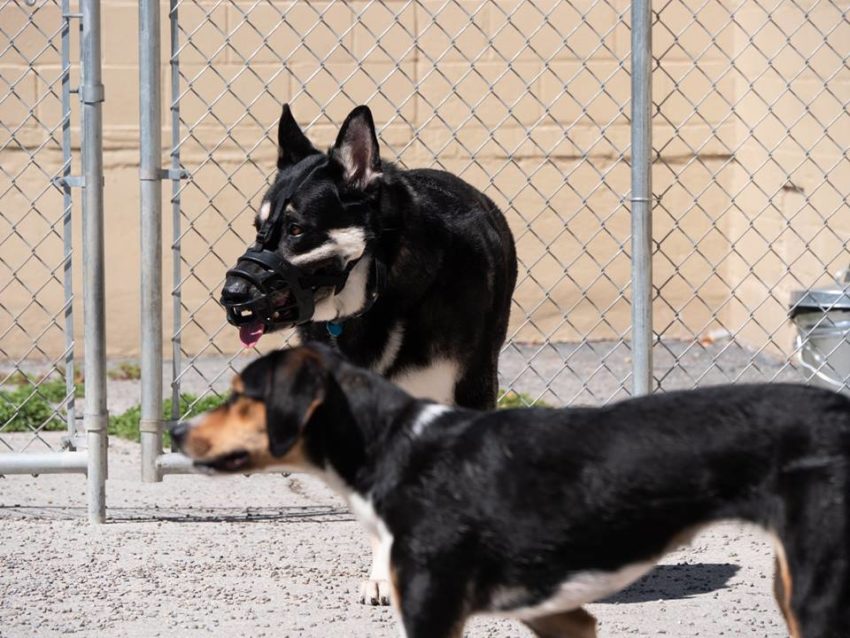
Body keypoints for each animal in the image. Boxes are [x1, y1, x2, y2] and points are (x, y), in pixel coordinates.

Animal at [172, 348, 848, 638]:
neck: (396, 447)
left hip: (815, 595)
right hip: (790, 586)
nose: (176, 432)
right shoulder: (558, 616)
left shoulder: (432, 612)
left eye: (242, 395)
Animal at [219, 105, 516, 604]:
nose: (232, 294)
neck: (382, 293)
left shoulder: (467, 394)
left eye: (296, 229)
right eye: (260, 229)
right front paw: (383, 574)